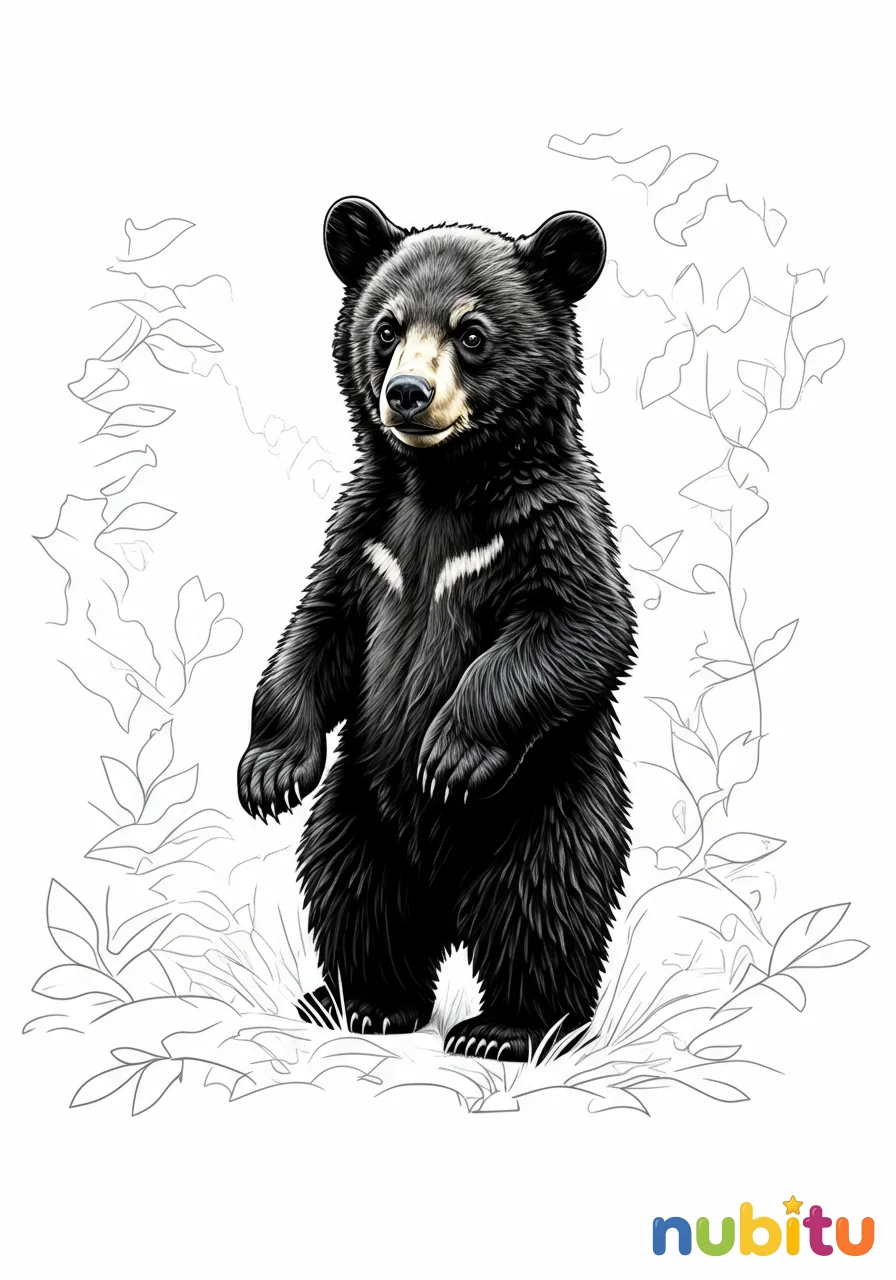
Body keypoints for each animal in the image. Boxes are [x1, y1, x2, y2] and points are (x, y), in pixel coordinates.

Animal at [237, 196, 636, 1062]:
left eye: (472, 332)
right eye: (387, 326)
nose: (408, 393)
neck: (445, 482)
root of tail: (447, 906)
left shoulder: (549, 523)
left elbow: (580, 624)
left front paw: (450, 754)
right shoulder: (367, 535)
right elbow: (314, 633)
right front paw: (270, 771)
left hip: (550, 805)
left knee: (542, 907)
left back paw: (509, 1027)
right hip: (357, 806)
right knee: (353, 893)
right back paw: (363, 1001)